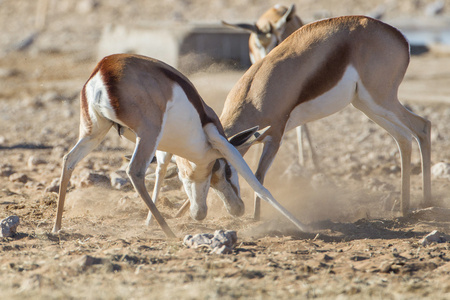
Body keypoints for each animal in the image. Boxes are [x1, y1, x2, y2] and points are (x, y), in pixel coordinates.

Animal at [218, 14, 432, 220]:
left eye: (226, 170)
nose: (235, 210)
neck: (253, 94)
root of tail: (401, 38)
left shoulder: (276, 136)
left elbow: (258, 176)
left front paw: (256, 218)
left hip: (381, 100)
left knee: (423, 126)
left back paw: (427, 203)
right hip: (367, 105)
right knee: (404, 137)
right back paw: (405, 209)